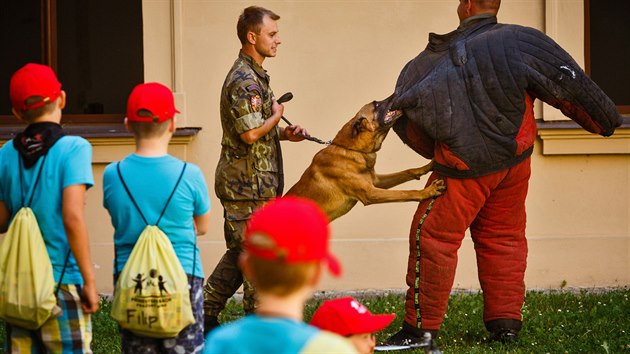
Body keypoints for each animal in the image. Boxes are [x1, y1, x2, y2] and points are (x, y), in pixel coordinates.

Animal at [286, 95, 444, 220]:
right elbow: (404, 193)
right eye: (376, 105)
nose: (398, 93)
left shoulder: (376, 182)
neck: (350, 150)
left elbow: (407, 171)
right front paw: (427, 191)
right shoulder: (371, 193)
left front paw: (427, 166)